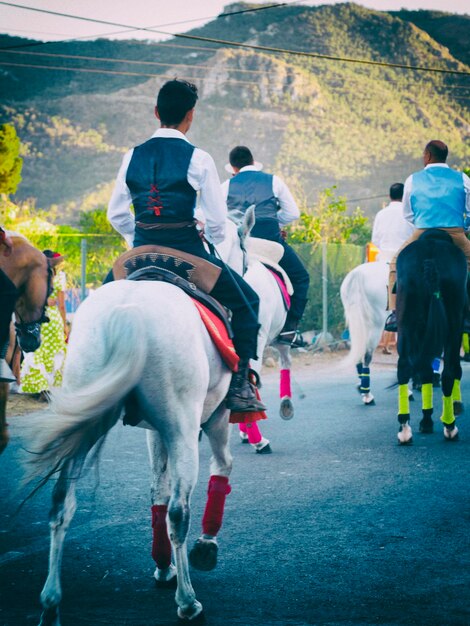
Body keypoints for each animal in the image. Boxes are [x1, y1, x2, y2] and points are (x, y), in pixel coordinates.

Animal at [28, 228, 258, 620]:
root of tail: (129, 310)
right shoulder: (213, 418)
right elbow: (221, 467)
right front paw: (205, 547)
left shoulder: (155, 432)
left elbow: (157, 493)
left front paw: (163, 566)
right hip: (182, 429)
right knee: (179, 512)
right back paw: (187, 601)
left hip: (87, 421)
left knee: (61, 503)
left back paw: (50, 603)